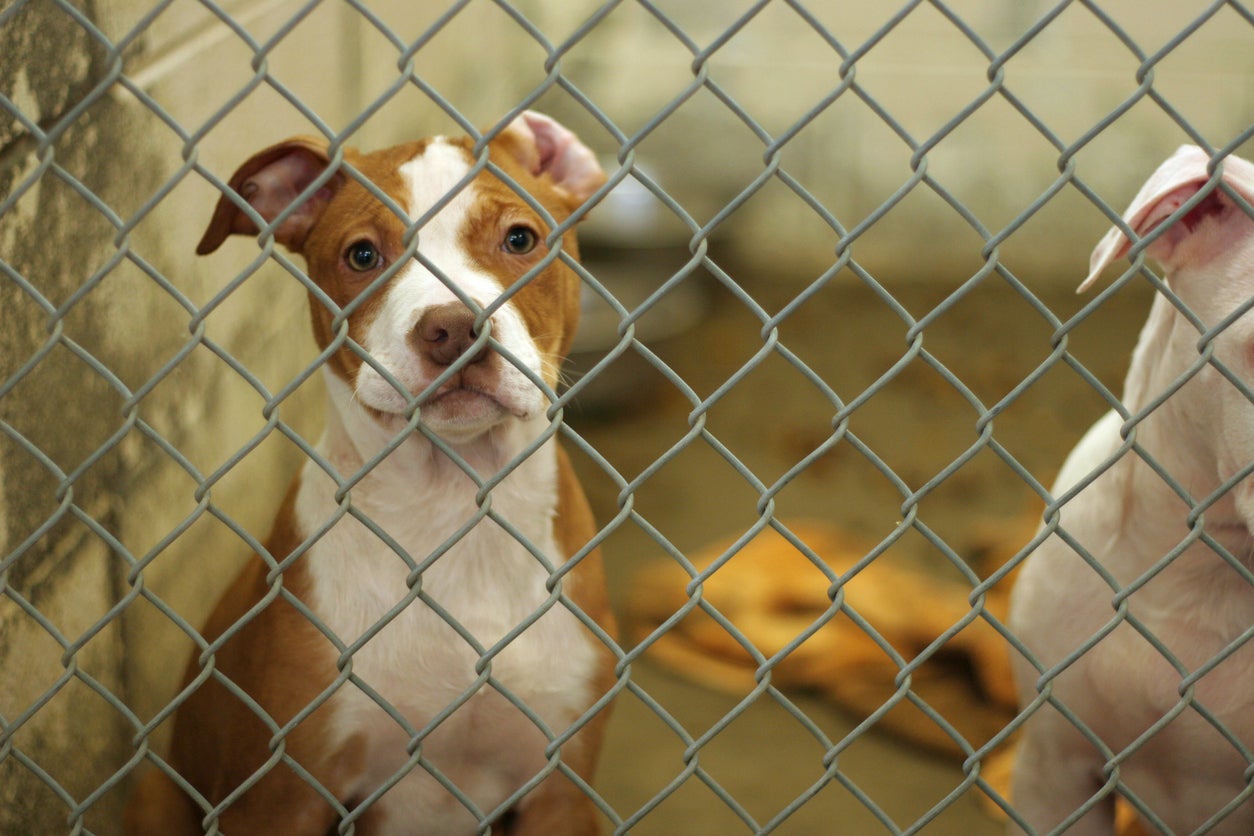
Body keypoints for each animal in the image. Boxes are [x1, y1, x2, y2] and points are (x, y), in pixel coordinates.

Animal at [124, 112, 614, 836]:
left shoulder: (561, 790)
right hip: (158, 794)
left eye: (520, 239)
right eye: (362, 256)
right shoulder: (280, 796)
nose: (453, 329)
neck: (452, 505)